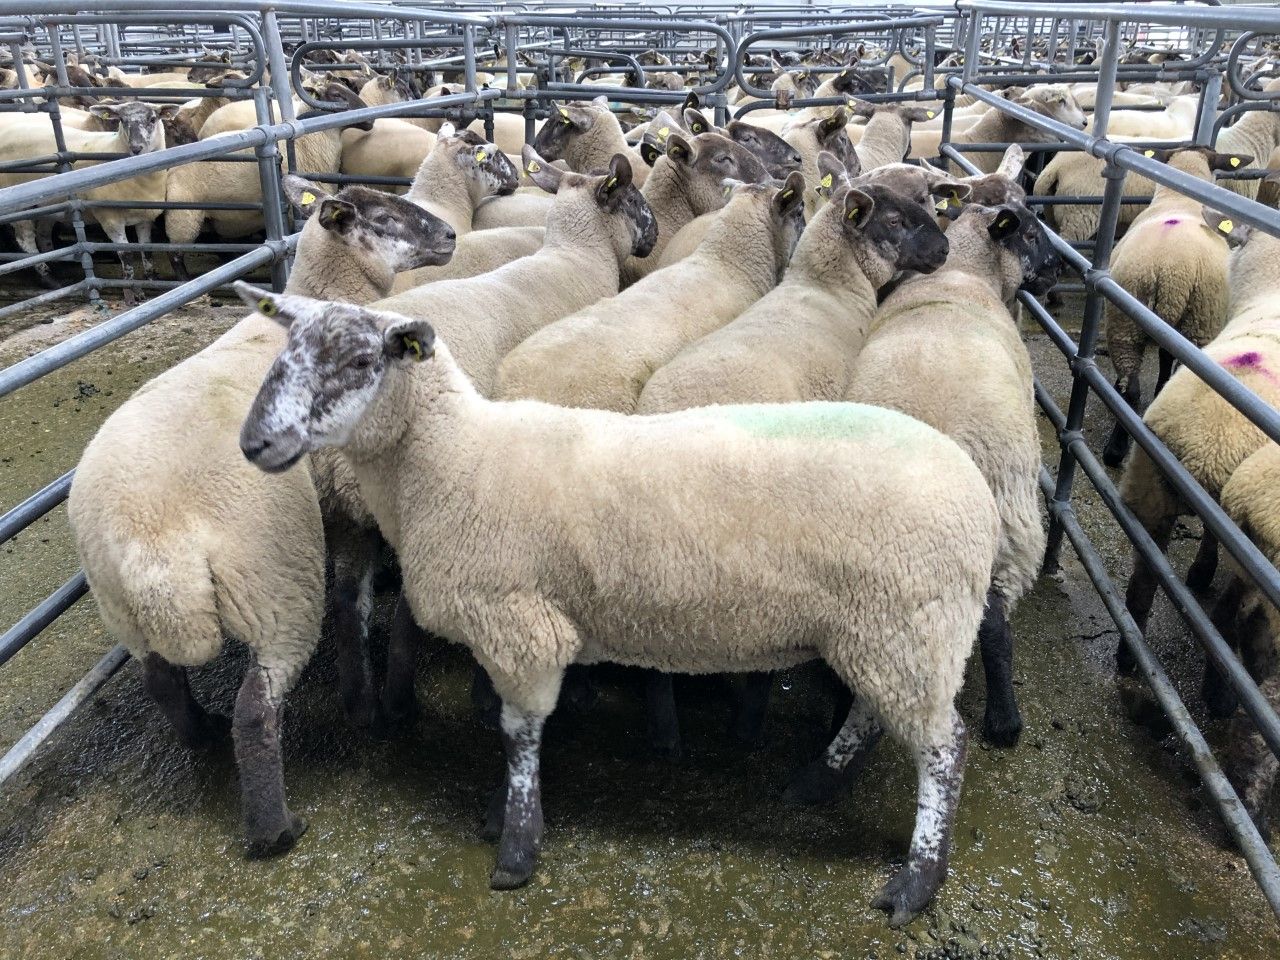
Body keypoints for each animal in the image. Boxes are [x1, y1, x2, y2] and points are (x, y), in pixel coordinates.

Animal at [0, 101, 177, 302]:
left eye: (153, 119)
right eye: (122, 120)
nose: (136, 148)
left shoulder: (144, 217)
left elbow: (147, 251)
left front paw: (152, 282)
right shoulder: (110, 219)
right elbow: (127, 256)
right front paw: (134, 292)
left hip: (49, 207)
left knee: (43, 235)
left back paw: (57, 270)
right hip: (20, 208)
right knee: (26, 240)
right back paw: (49, 278)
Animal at [67, 179, 457, 858]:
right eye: (385, 218)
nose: (453, 235)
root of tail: (150, 541)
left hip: (122, 606)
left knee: (161, 680)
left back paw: (200, 733)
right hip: (273, 581)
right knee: (258, 707)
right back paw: (276, 828)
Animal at [233, 278, 1000, 927]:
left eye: (362, 360)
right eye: (283, 351)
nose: (254, 442)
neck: (454, 462)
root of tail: (976, 494)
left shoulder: (521, 627)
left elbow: (517, 736)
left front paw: (516, 845)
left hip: (908, 624)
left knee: (944, 749)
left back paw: (916, 883)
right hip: (885, 630)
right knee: (875, 713)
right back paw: (818, 781)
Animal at [843, 201, 1063, 748]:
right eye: (1031, 233)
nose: (1061, 269)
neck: (965, 270)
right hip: (1007, 527)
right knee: (995, 627)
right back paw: (1004, 722)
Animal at [1100, 147, 1251, 467]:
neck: (1179, 198)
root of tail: (1171, 270)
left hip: (1128, 319)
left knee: (1131, 388)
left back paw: (1117, 448)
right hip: (1196, 322)